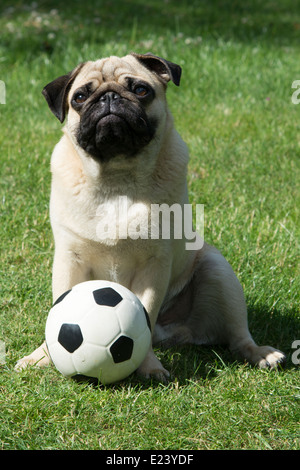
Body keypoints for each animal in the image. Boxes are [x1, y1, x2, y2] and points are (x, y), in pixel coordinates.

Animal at [15, 53, 284, 380]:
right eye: (79, 97)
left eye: (141, 90)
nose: (109, 97)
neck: (117, 178)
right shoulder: (69, 259)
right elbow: (59, 309)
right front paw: (42, 356)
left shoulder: (154, 264)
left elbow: (144, 311)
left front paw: (149, 367)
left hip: (219, 273)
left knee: (237, 336)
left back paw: (261, 354)